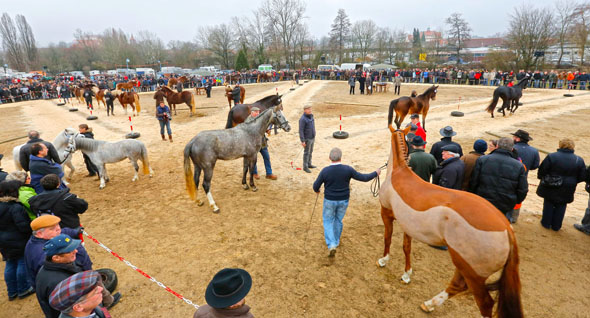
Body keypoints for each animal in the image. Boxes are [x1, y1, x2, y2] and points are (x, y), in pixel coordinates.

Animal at [380, 125, 524, 316]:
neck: (398, 173)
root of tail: (507, 229)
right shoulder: (407, 226)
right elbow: (406, 248)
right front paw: (406, 275)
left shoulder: (386, 213)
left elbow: (387, 238)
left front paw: (383, 261)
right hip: (464, 266)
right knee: (457, 286)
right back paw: (430, 304)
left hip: (472, 272)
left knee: (484, 303)